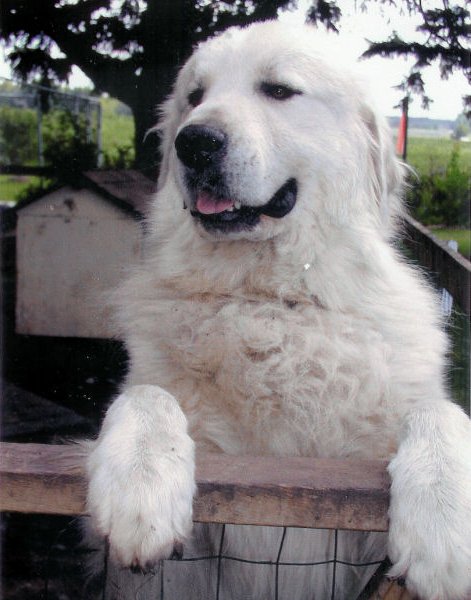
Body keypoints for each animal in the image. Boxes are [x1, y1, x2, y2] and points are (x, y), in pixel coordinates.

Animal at [85, 18, 471, 600]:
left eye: (279, 90)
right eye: (195, 96)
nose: (193, 142)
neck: (270, 301)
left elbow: (442, 411)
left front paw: (447, 521)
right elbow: (146, 395)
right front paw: (141, 483)